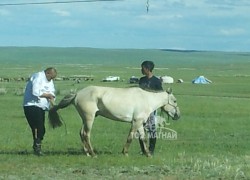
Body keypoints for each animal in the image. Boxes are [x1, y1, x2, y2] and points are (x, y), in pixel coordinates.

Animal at [47, 85, 181, 157]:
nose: (178, 116)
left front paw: (148, 154)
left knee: (81, 133)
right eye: (174, 101)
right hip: (89, 118)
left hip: (85, 119)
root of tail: (77, 93)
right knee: (86, 134)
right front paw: (125, 153)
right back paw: (93, 154)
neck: (146, 99)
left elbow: (143, 138)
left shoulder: (139, 123)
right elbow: (130, 137)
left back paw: (87, 153)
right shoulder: (135, 122)